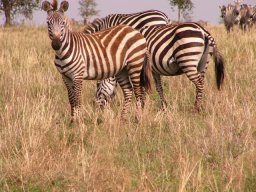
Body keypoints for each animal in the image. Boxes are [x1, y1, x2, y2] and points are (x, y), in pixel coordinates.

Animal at [95, 22, 224, 112]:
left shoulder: (141, 67)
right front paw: (163, 107)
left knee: (199, 84)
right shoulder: (154, 70)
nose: (96, 107)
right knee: (201, 83)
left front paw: (142, 106)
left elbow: (142, 87)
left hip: (188, 60)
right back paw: (200, 107)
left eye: (98, 85)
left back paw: (196, 109)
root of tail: (203, 31)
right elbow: (159, 88)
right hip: (203, 64)